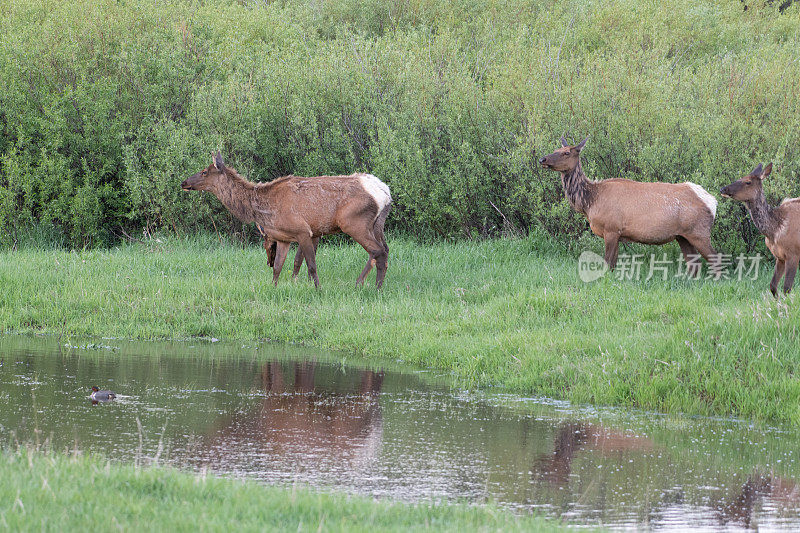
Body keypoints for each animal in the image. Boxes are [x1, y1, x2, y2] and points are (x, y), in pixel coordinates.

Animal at [184, 152, 390, 288]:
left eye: (204, 171)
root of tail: (385, 192)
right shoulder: (283, 237)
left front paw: (317, 289)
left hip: (354, 223)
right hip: (377, 225)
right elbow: (278, 267)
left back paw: (372, 287)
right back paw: (367, 284)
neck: (263, 208)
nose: (183, 182)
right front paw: (273, 288)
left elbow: (311, 265)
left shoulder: (303, 231)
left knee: (377, 251)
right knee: (384, 250)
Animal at [536, 137, 720, 274]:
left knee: (715, 258)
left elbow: (608, 263)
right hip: (683, 236)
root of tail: (712, 201)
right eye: (556, 149)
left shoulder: (611, 229)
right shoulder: (617, 234)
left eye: (566, 152)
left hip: (699, 232)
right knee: (694, 263)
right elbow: (613, 264)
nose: (542, 159)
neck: (590, 202)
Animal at [720, 161, 800, 296]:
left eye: (748, 182)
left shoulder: (793, 254)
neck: (774, 231)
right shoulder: (779, 256)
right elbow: (773, 286)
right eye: (740, 177)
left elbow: (787, 288)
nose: (723, 189)